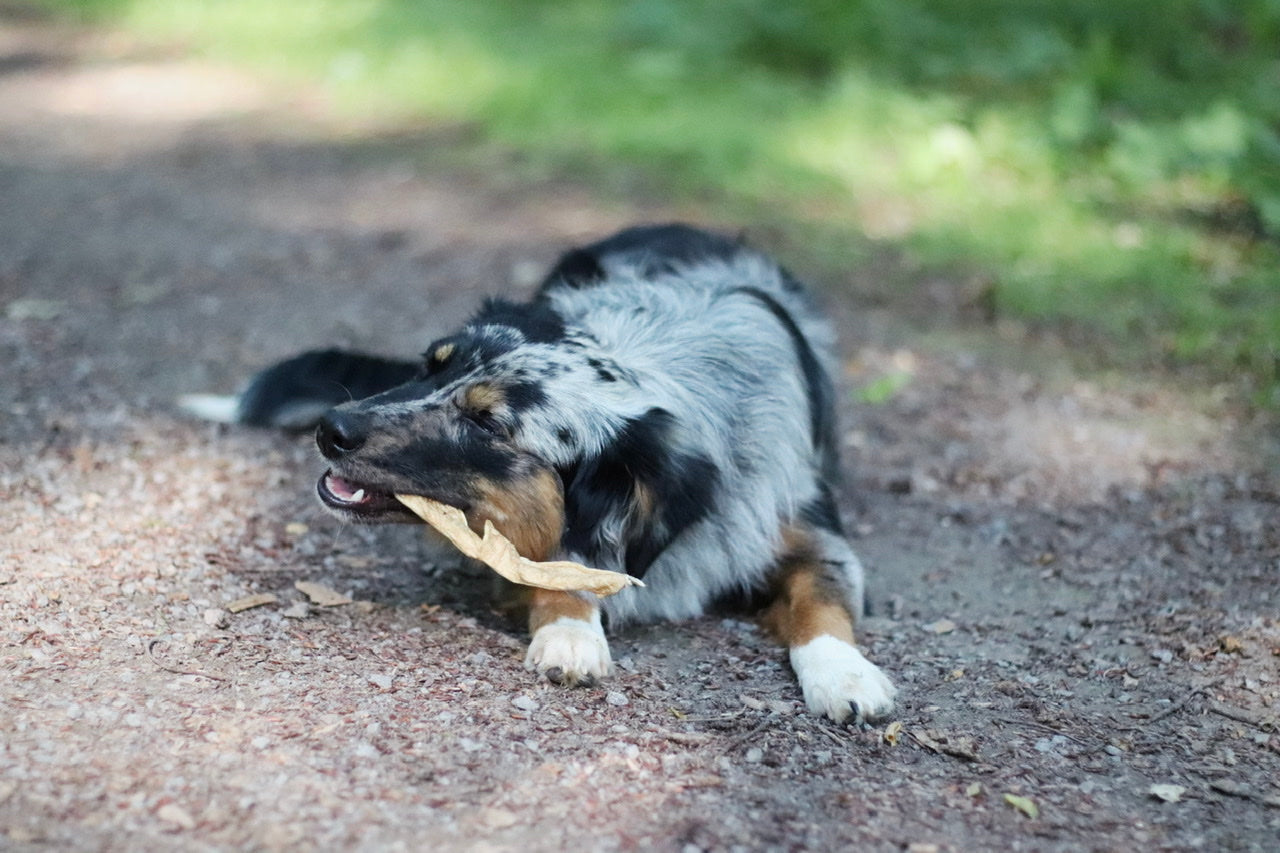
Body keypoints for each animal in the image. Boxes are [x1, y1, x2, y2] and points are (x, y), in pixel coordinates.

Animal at [185, 224, 896, 717]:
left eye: (487, 424)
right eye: (430, 364)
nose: (330, 428)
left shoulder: (810, 530)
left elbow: (820, 599)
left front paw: (845, 673)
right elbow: (560, 566)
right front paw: (571, 632)